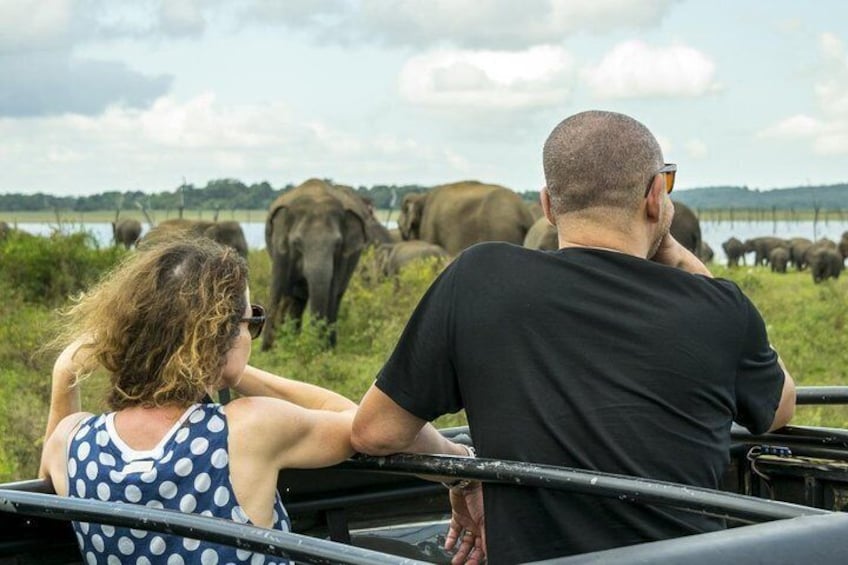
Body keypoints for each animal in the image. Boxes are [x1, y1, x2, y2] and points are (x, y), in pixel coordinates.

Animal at [262, 178, 374, 350]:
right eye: (296, 243)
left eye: (337, 244)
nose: (315, 344)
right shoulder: (280, 249)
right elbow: (278, 288)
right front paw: (267, 351)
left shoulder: (341, 258)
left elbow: (331, 289)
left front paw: (322, 350)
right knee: (296, 299)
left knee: (334, 298)